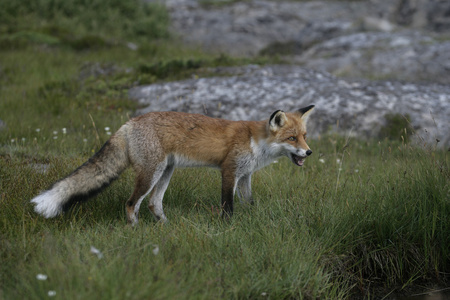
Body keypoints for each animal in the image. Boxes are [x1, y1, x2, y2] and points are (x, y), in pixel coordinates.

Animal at [29, 105, 314, 225]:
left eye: (304, 136)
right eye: (291, 138)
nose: (309, 152)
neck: (256, 142)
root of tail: (129, 123)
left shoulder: (245, 176)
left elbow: (249, 203)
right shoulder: (229, 171)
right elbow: (228, 206)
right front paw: (228, 227)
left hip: (166, 171)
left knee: (154, 203)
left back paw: (165, 226)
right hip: (151, 173)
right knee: (131, 203)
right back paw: (135, 230)